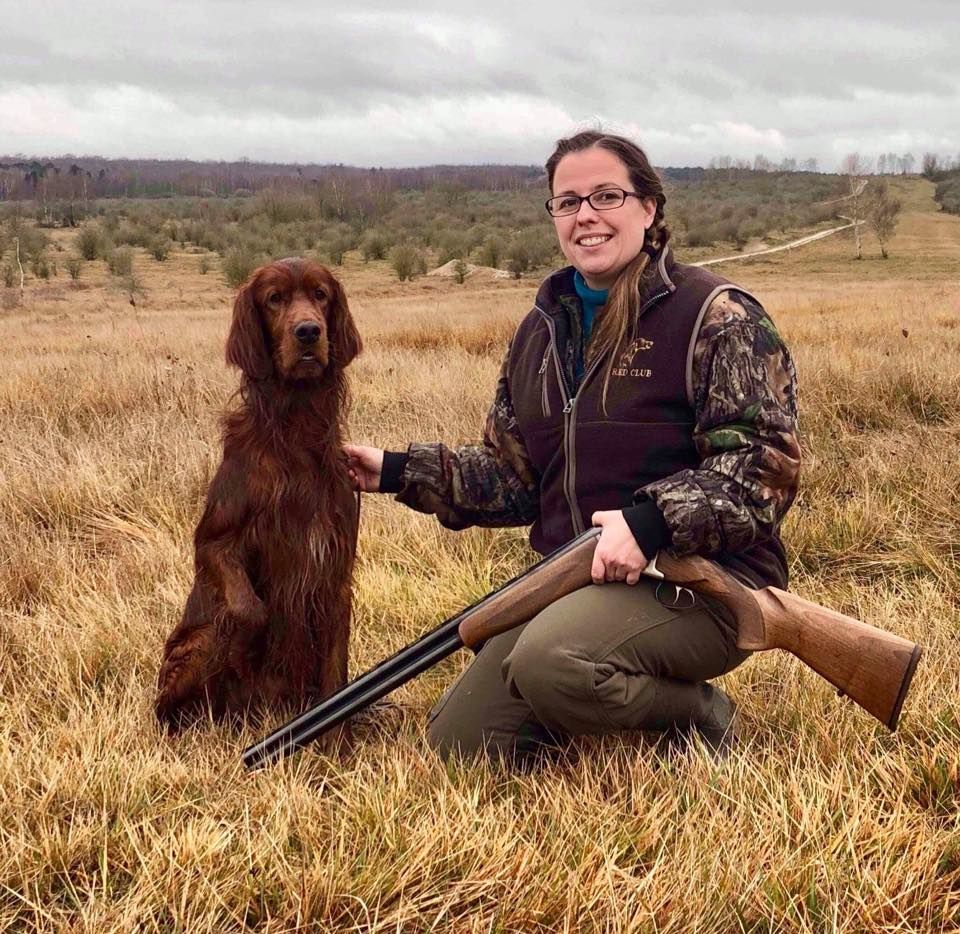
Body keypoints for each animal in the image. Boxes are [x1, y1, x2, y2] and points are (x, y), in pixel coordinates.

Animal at [156, 256, 362, 740]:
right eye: (274, 299)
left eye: (321, 294)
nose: (308, 332)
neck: (295, 432)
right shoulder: (213, 543)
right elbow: (251, 610)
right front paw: (244, 652)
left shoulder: (337, 567)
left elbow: (336, 667)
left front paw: (336, 742)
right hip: (192, 645)